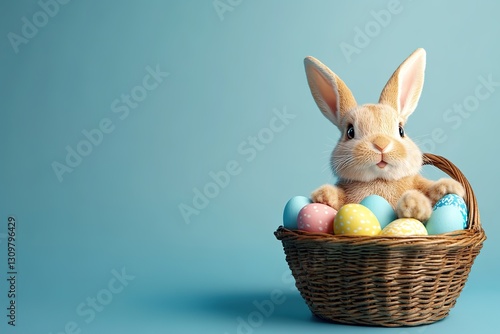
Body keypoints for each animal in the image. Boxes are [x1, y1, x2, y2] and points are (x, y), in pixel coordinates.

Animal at [304, 47, 464, 222]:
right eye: (350, 132)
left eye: (401, 130)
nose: (381, 144)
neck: (380, 179)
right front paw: (324, 195)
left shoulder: (418, 182)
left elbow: (428, 187)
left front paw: (423, 200)